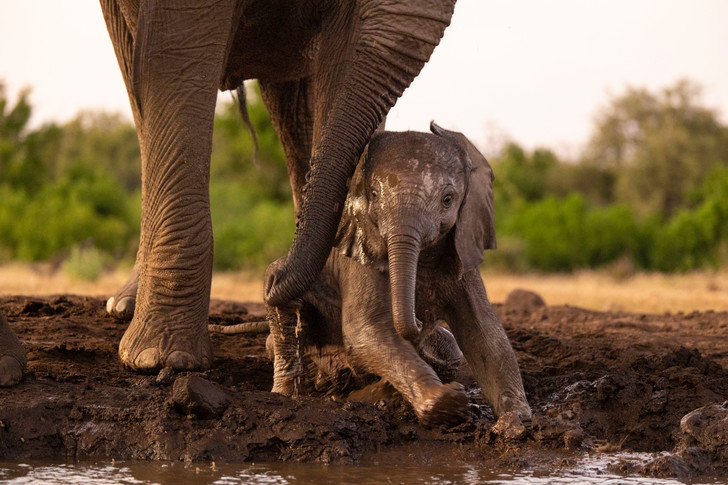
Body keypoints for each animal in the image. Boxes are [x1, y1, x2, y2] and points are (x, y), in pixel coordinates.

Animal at [93, 0, 452, 372]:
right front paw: (164, 360)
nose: (273, 277)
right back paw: (126, 310)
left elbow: (342, 64)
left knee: (296, 99)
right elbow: (177, 58)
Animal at [266, 123, 528, 426]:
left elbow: (484, 333)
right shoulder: (362, 260)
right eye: (374, 195)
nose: (420, 318)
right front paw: (447, 402)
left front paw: (516, 420)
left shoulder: (464, 257)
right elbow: (366, 329)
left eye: (448, 200)